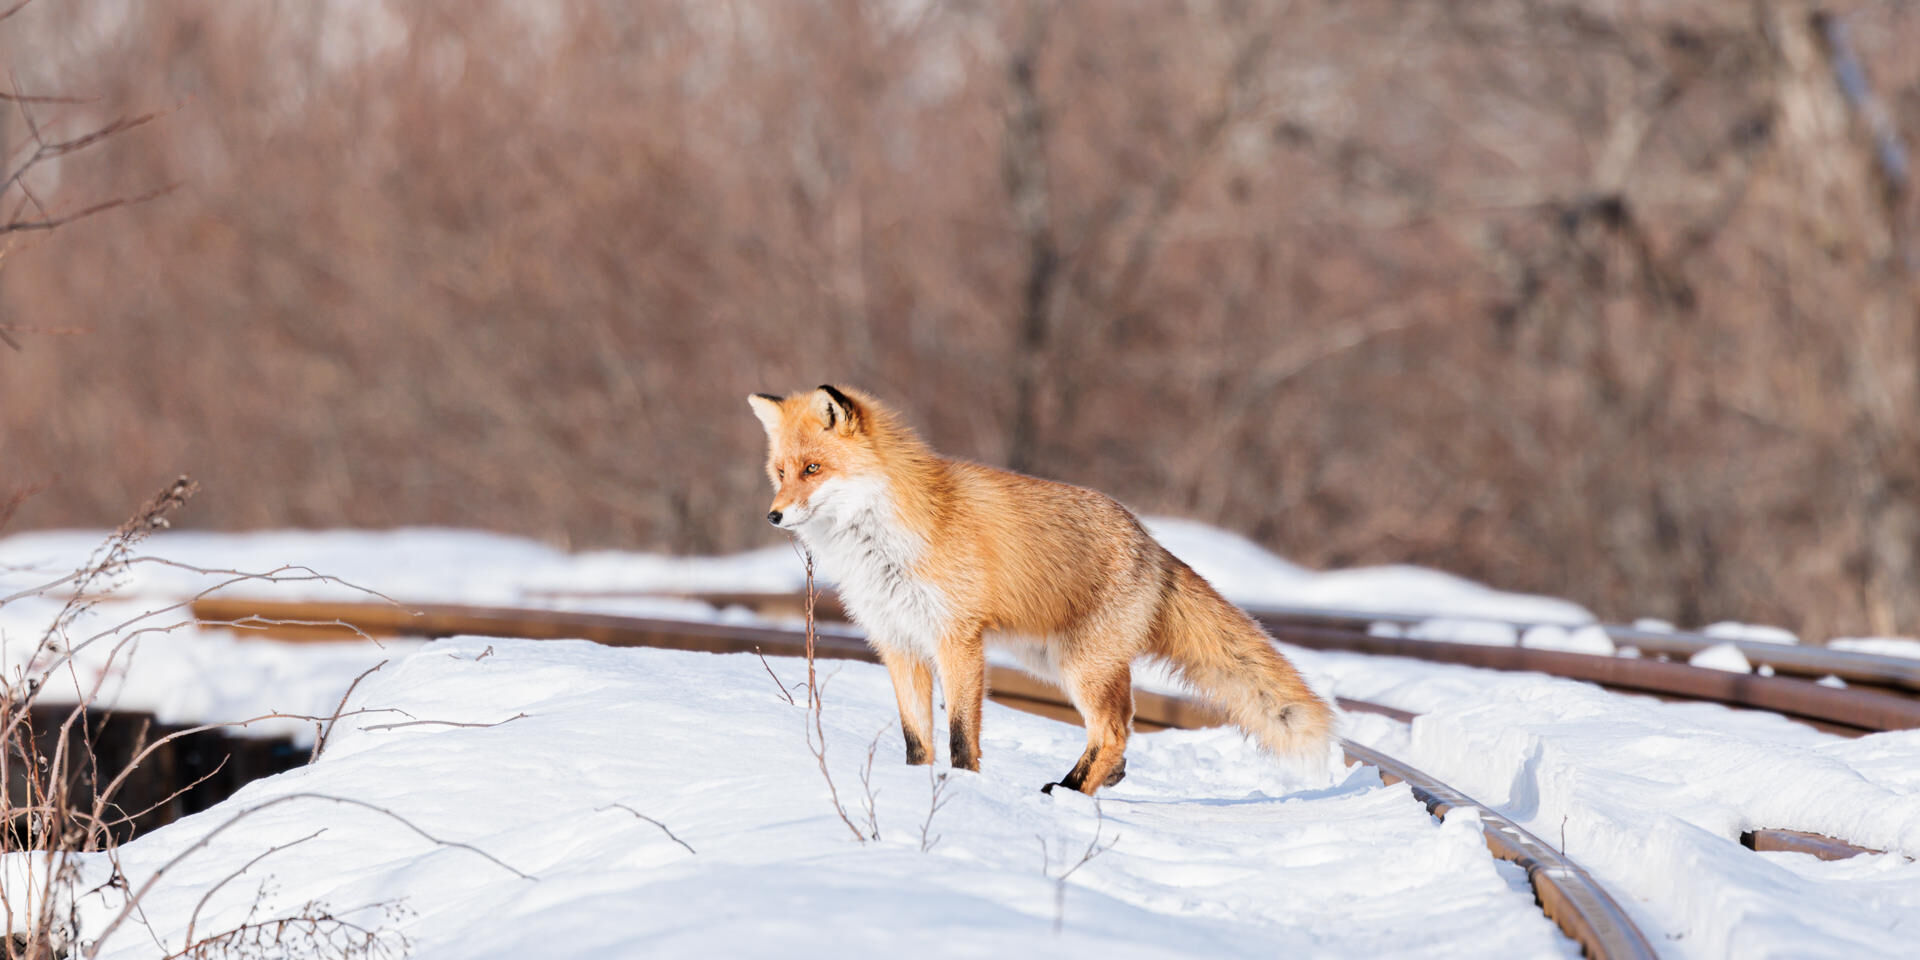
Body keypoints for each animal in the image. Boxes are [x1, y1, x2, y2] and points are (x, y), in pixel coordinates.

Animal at [748, 382, 1336, 794]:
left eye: (813, 468)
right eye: (780, 472)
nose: (773, 515)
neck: (882, 545)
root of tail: (1150, 541)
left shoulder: (957, 639)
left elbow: (960, 734)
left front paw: (963, 788)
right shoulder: (898, 642)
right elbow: (917, 738)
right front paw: (914, 784)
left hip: (1079, 667)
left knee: (1113, 730)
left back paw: (1068, 792)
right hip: (1054, 661)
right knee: (1121, 727)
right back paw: (1092, 783)